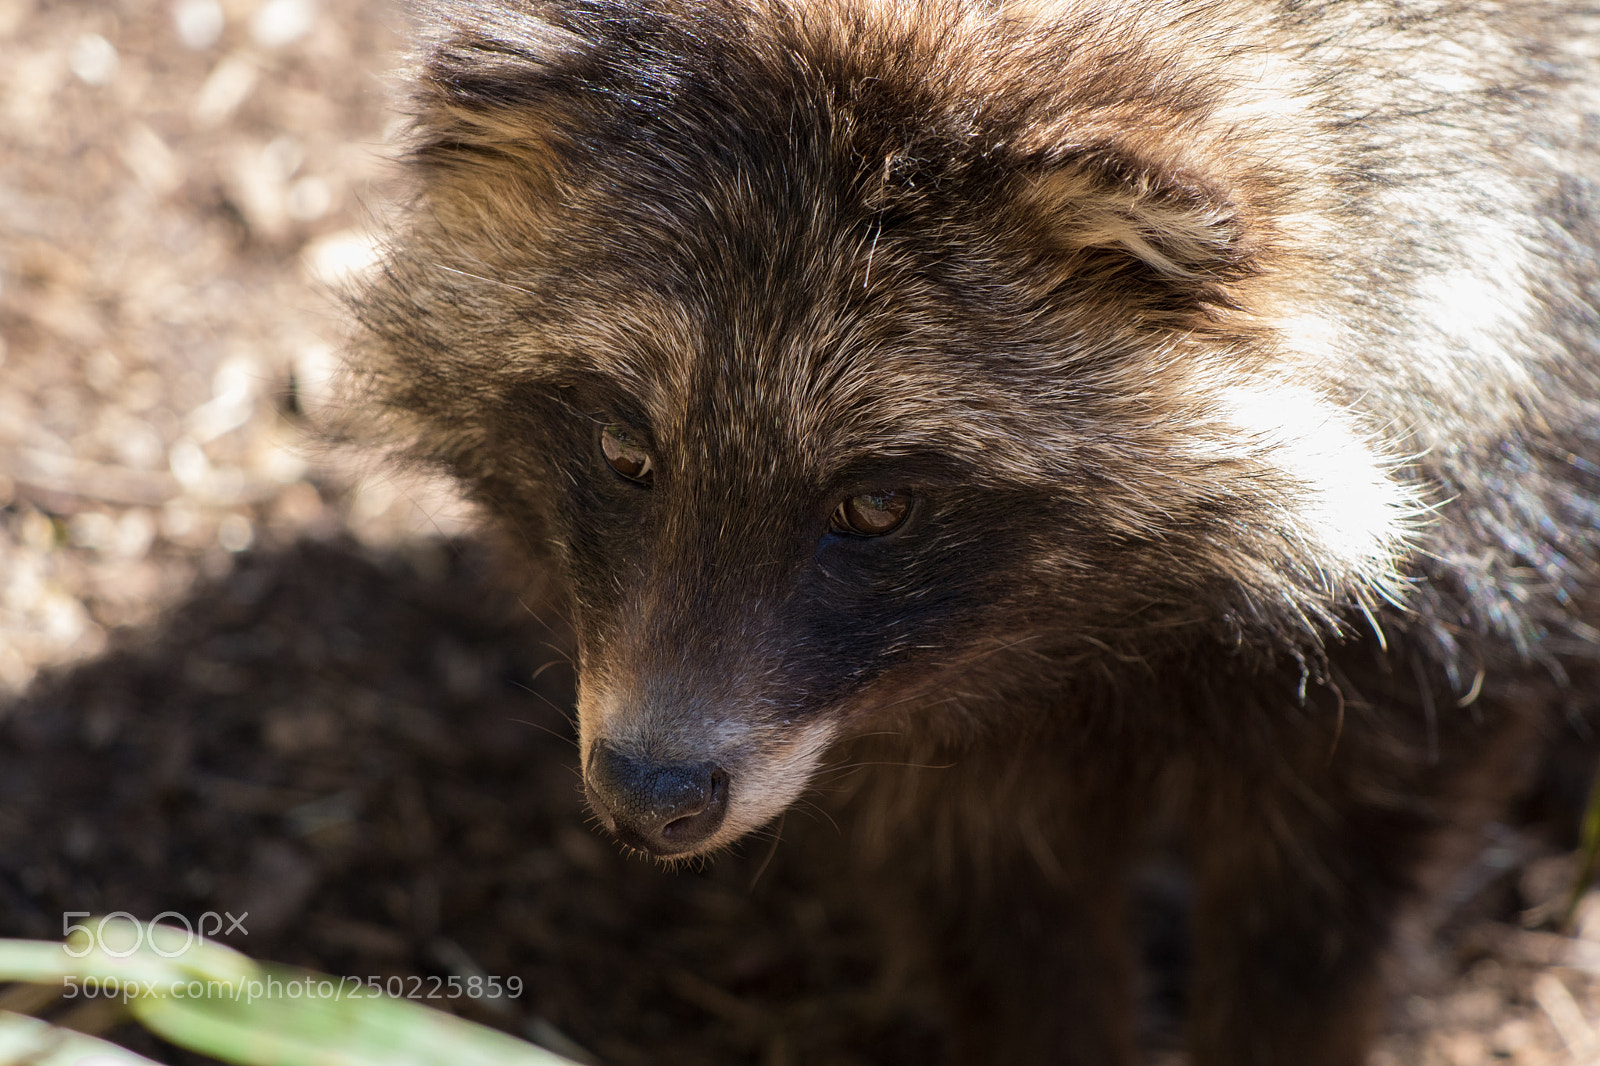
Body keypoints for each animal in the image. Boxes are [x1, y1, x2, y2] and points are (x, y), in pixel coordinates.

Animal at [338, 1, 1600, 1062]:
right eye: (622, 450)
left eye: (875, 502)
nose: (651, 797)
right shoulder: (912, 734)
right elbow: (1001, 912)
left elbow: (1317, 924)